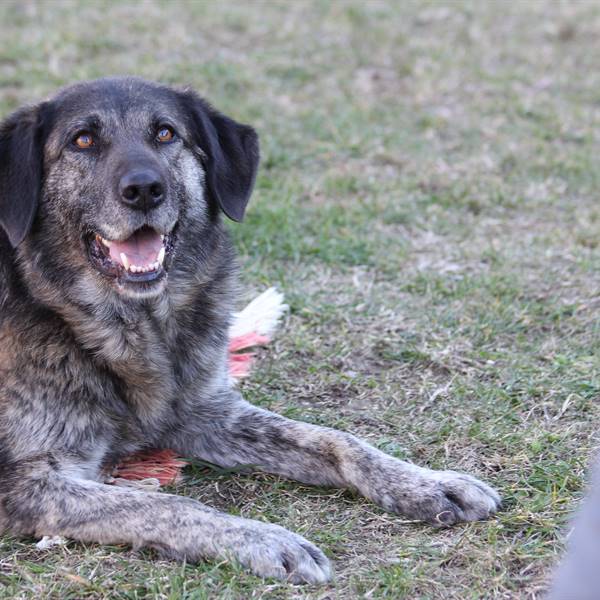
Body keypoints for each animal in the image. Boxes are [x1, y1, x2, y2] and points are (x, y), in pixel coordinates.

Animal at [0, 77, 500, 584]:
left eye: (165, 133)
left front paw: (426, 483)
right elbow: (165, 503)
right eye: (82, 140)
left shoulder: (205, 413)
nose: (144, 189)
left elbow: (336, 440)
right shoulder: (24, 481)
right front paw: (265, 540)